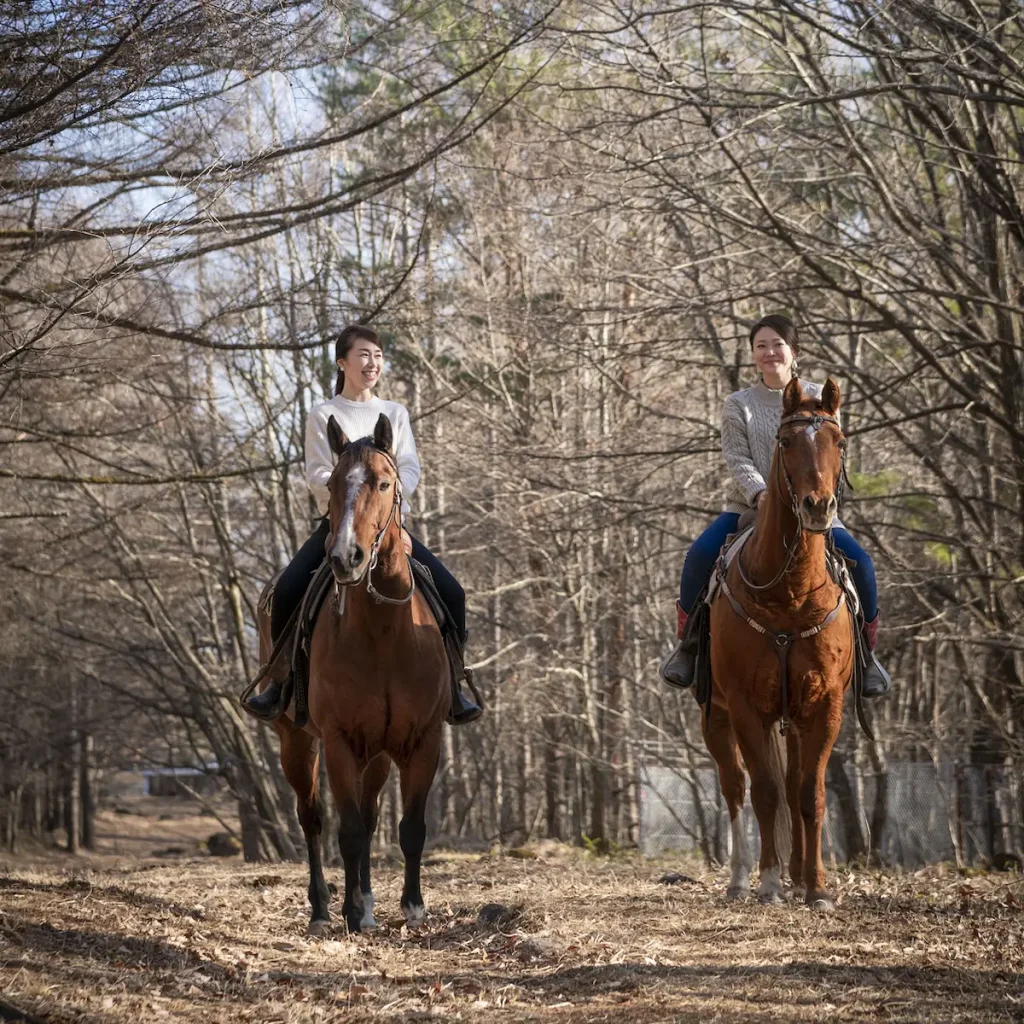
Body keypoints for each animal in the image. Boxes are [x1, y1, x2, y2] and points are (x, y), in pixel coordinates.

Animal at [256, 413, 448, 937]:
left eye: (384, 482)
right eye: (333, 485)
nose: (347, 558)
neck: (384, 632)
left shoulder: (423, 739)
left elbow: (409, 828)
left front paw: (411, 907)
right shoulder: (339, 741)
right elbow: (349, 831)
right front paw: (349, 913)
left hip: (377, 753)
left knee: (369, 810)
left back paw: (365, 903)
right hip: (296, 741)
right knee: (313, 818)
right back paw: (324, 909)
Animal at [704, 378, 856, 913]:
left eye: (839, 441)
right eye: (786, 442)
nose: (818, 507)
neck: (790, 593)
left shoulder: (825, 705)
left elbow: (808, 793)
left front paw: (816, 887)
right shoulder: (746, 707)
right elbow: (765, 791)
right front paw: (768, 883)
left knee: (791, 789)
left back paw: (797, 874)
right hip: (715, 716)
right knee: (735, 787)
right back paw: (740, 877)